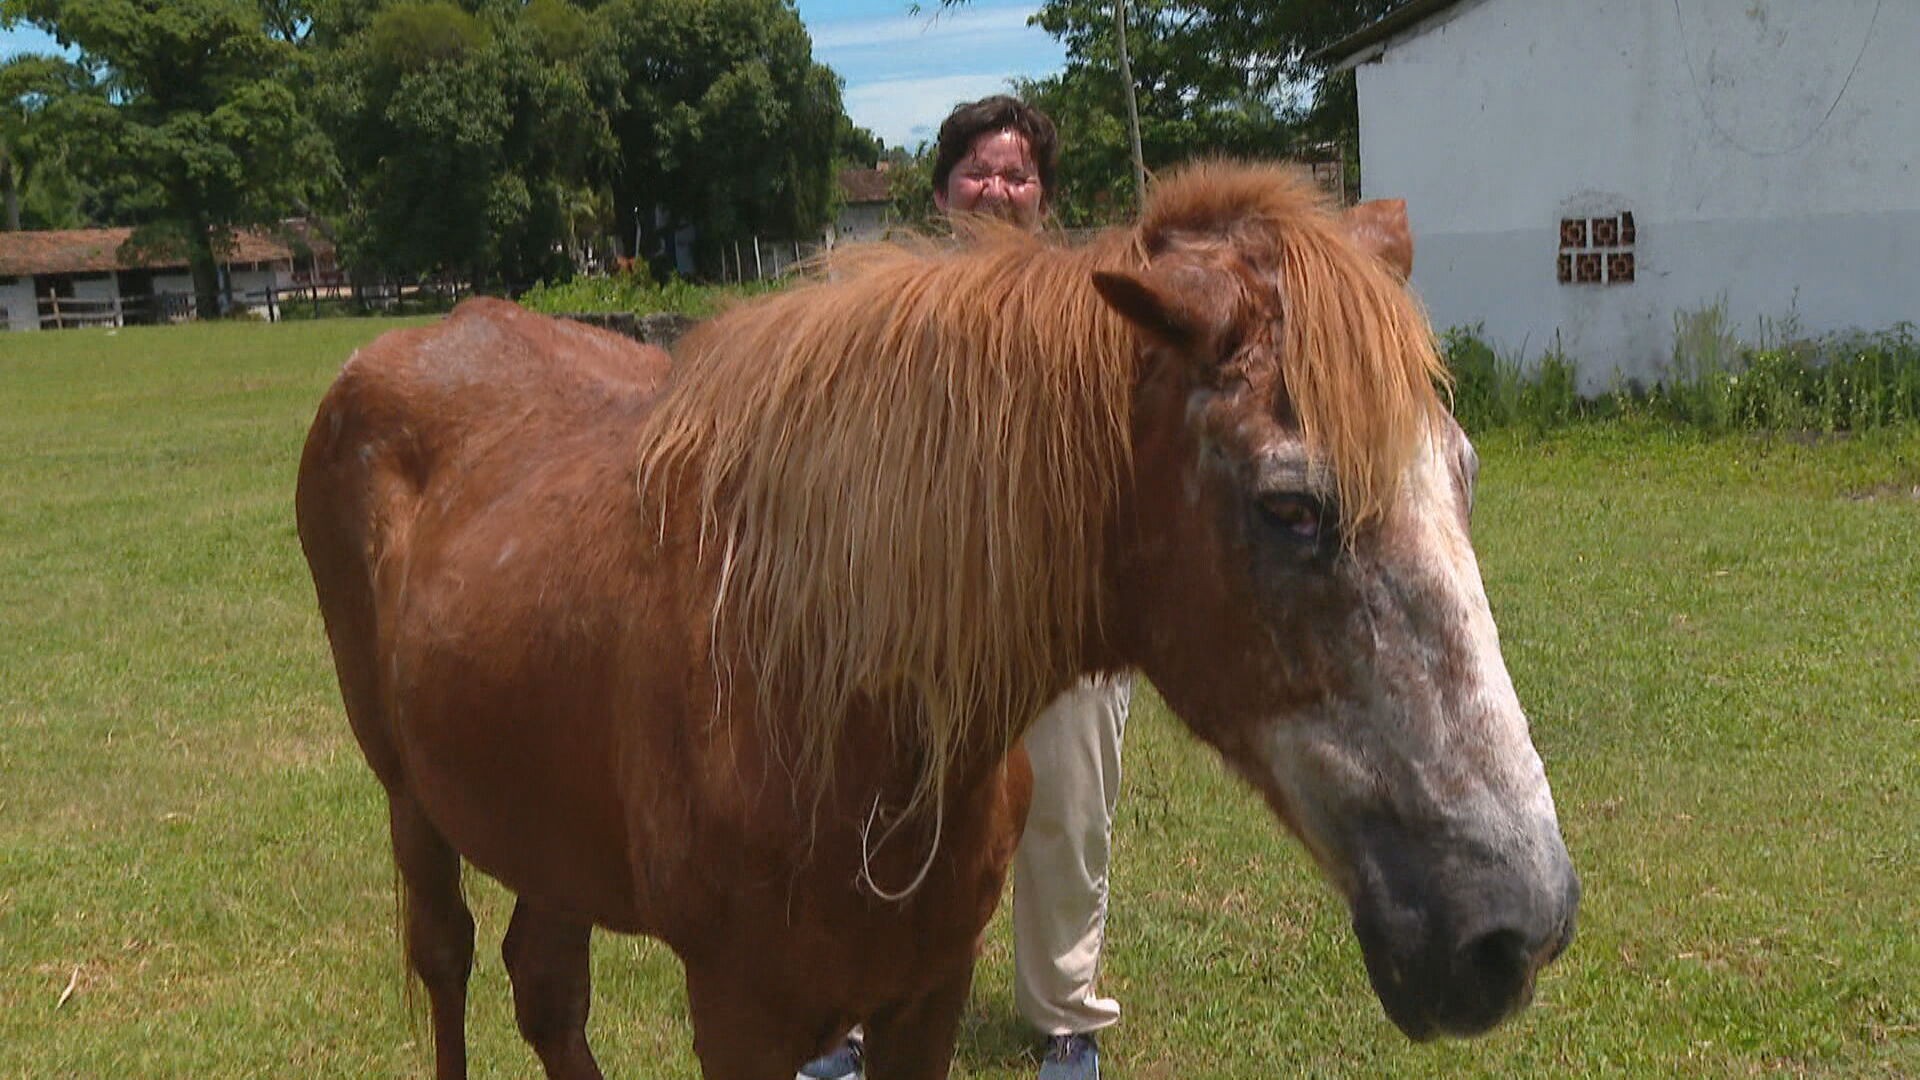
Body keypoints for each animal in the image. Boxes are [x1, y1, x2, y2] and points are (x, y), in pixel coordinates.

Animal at [295, 161, 1574, 1076]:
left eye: (1463, 472)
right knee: (452, 965)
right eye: (1292, 508)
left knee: (547, 990)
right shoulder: (741, 1019)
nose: (1521, 926)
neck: (822, 694)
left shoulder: (928, 993)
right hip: (411, 800)